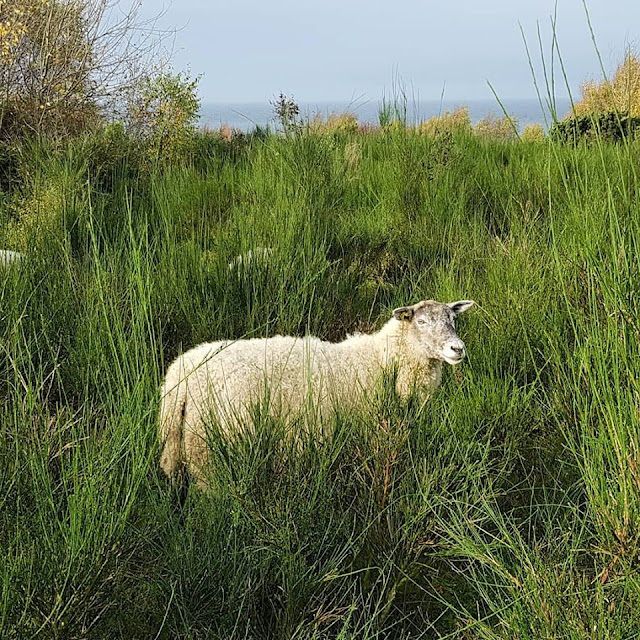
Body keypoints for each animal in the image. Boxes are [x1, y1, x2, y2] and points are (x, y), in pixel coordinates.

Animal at [158, 298, 472, 484]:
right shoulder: (373, 434)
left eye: (453, 320)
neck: (382, 359)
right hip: (208, 447)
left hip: (177, 445)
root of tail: (179, 377)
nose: (457, 349)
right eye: (421, 321)